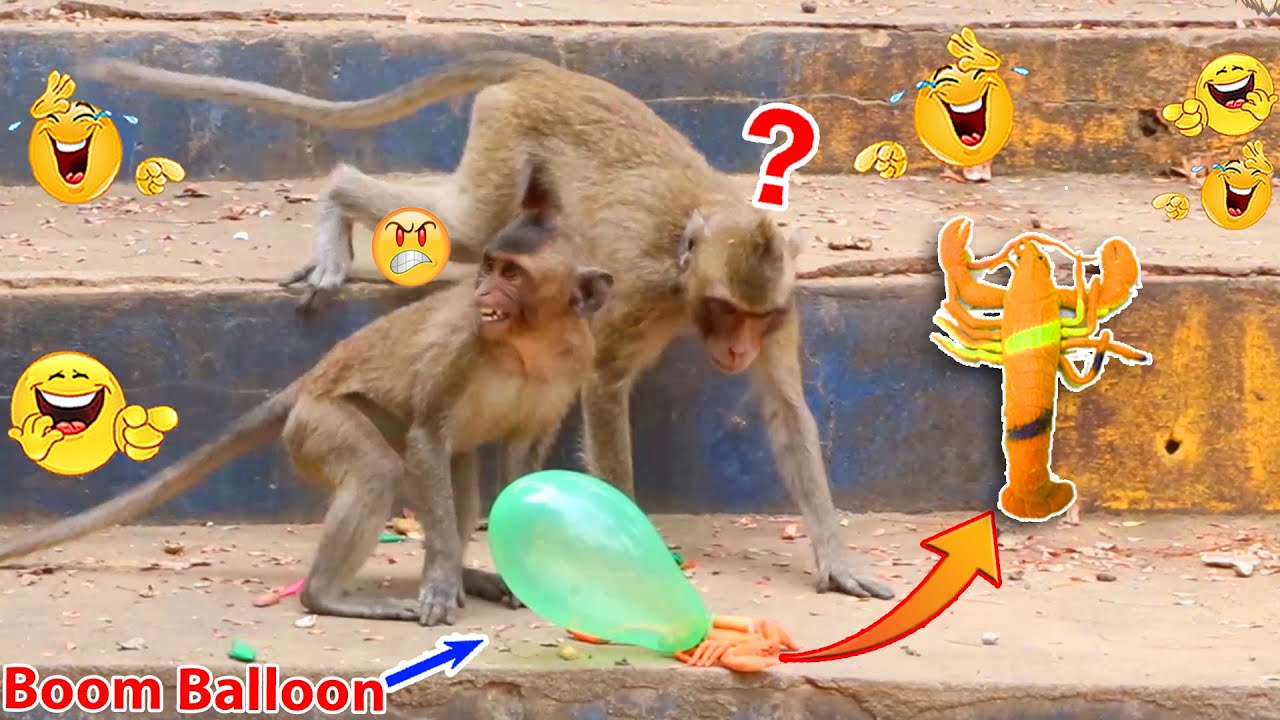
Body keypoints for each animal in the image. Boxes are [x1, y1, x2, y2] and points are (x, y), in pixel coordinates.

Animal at [0, 164, 615, 626]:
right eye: (489, 266)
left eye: (512, 274)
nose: (483, 290)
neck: (526, 344)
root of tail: (311, 379)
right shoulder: (463, 344)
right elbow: (426, 433)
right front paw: (441, 579)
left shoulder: (574, 363)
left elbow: (521, 460)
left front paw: (513, 567)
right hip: (319, 422)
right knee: (381, 470)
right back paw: (329, 595)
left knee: (454, 470)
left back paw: (462, 572)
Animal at [80, 52, 897, 601]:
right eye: (726, 313)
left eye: (755, 319)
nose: (735, 346)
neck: (687, 260)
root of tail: (545, 73)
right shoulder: (639, 292)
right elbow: (602, 386)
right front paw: (630, 538)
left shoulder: (786, 298)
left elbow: (786, 410)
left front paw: (834, 556)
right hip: (507, 137)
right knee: (468, 228)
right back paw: (338, 202)